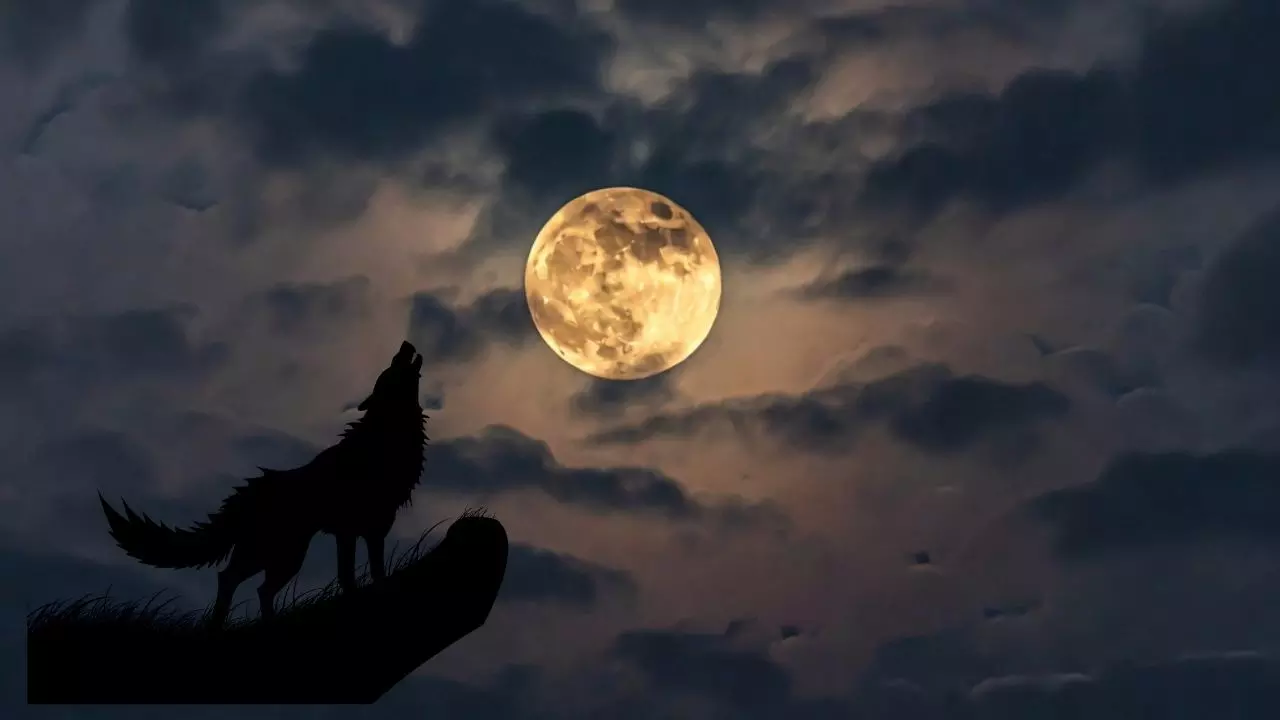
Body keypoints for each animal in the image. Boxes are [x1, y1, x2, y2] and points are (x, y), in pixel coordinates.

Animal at [100, 341, 428, 626]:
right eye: (394, 362)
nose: (406, 343)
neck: (383, 438)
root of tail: (247, 493)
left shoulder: (368, 528)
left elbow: (364, 572)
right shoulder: (356, 530)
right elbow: (359, 574)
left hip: (282, 555)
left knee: (255, 587)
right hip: (279, 553)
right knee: (232, 579)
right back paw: (224, 624)